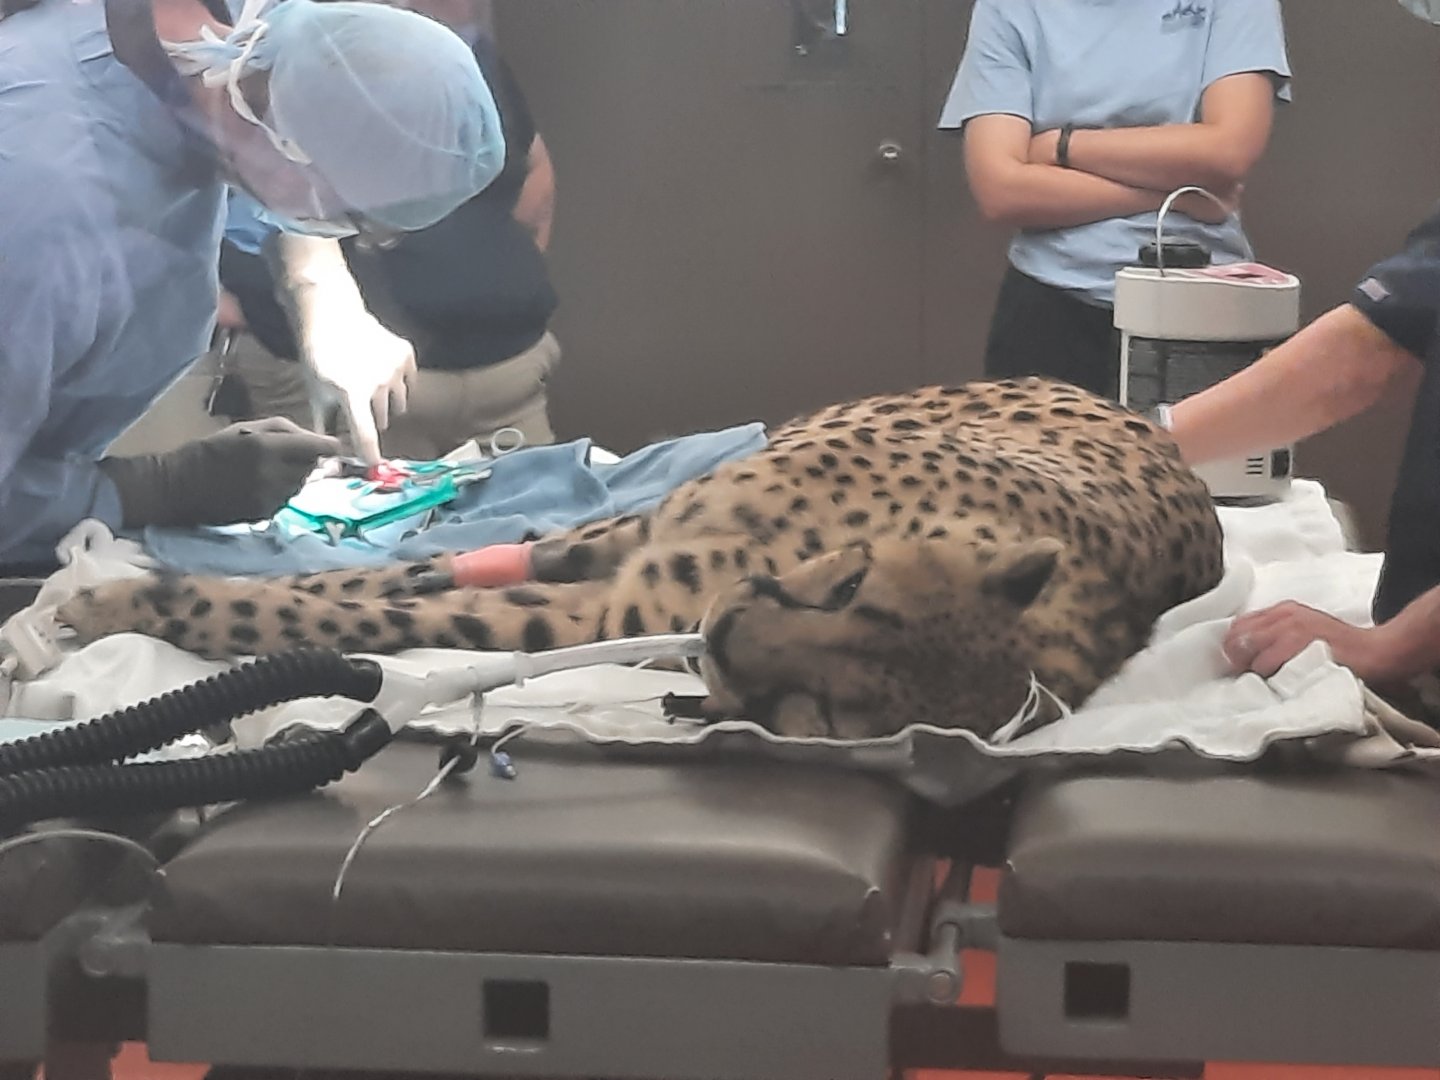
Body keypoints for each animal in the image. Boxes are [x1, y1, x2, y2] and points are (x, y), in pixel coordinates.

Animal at [58, 377, 1225, 741]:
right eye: (852, 589)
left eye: (817, 715)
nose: (726, 630)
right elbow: (349, 584)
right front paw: (114, 590)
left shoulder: (587, 621)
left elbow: (322, 610)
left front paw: (121, 602)